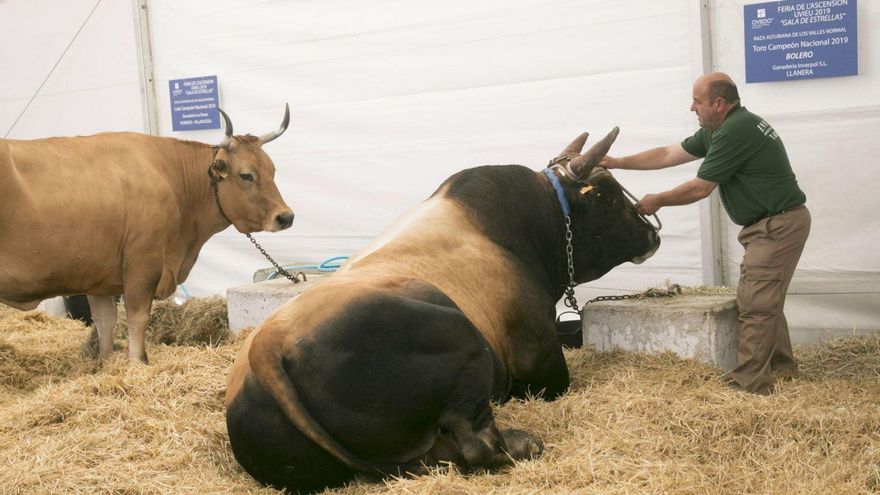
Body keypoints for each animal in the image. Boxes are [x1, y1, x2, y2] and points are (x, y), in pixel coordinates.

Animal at [0, 105, 296, 364]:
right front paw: (137, 362)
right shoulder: (143, 265)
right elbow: (137, 317)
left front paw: (106, 363)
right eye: (246, 175)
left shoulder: (99, 279)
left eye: (272, 170)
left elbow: (105, 322)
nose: (286, 216)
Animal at [223, 128, 656, 492]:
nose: (653, 232)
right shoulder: (540, 360)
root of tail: (267, 345)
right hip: (461, 336)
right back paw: (524, 443)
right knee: (476, 444)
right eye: (607, 193)